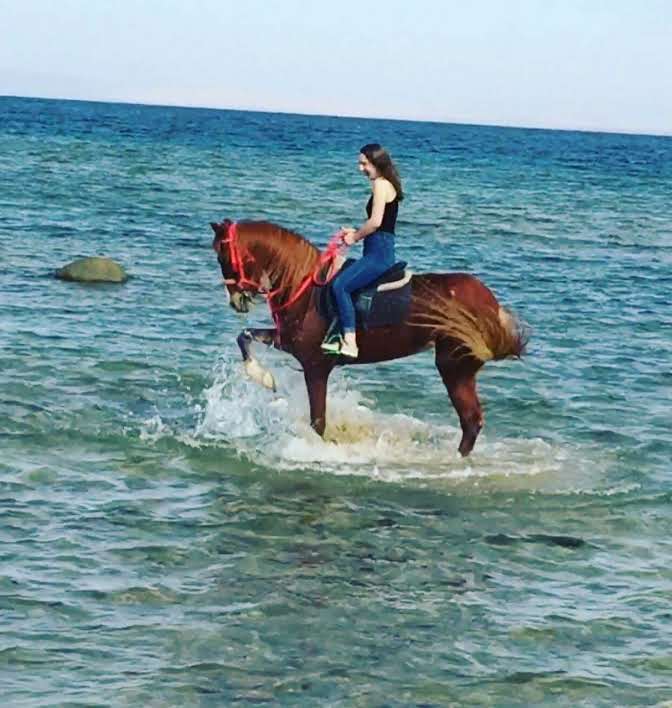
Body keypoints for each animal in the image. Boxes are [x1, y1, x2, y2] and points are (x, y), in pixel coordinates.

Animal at [211, 219, 527, 456]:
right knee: (471, 422)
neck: (304, 287)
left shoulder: (315, 366)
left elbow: (318, 422)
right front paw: (262, 376)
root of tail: (491, 304)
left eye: (222, 256)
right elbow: (244, 336)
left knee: (470, 421)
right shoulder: (287, 342)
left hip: (453, 365)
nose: (236, 301)